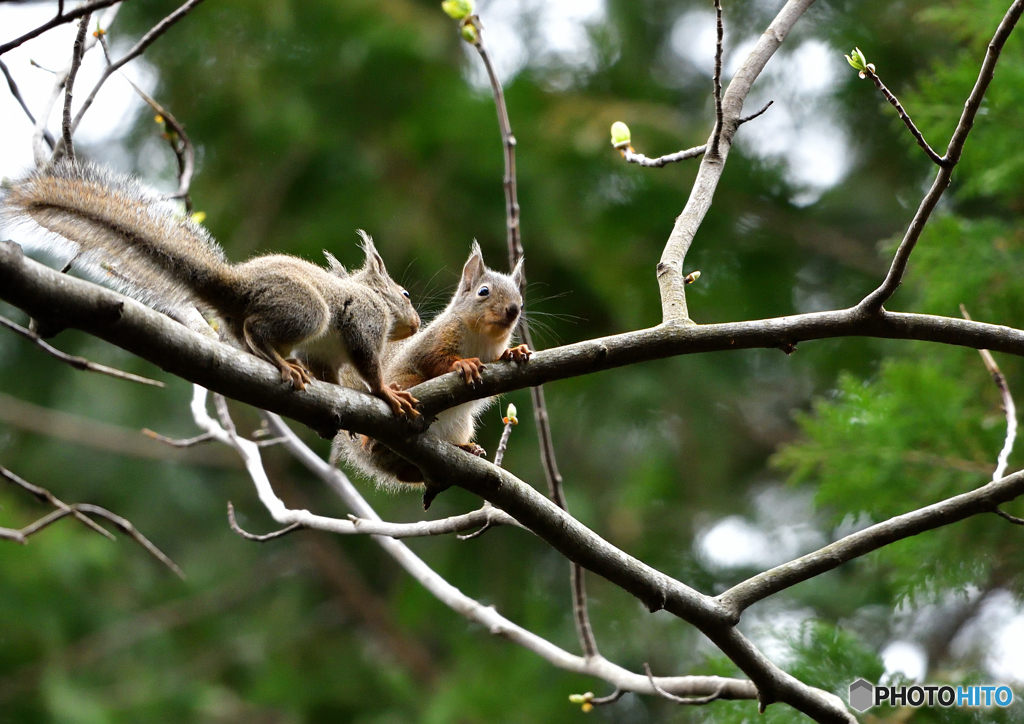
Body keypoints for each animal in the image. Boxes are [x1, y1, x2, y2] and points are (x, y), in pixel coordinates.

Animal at [1, 160, 419, 415]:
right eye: (405, 295)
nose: (416, 324)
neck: (372, 296)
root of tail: (235, 286)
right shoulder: (364, 320)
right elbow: (367, 363)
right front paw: (386, 392)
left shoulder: (328, 356)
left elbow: (331, 376)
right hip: (307, 310)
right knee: (257, 330)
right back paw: (282, 362)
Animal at [335, 240, 532, 489]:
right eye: (483, 291)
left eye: (521, 301)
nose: (513, 309)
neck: (482, 336)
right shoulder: (435, 341)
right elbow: (434, 360)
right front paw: (464, 364)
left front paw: (514, 352)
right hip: (406, 384)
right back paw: (374, 441)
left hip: (460, 426)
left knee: (407, 473)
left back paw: (465, 448)